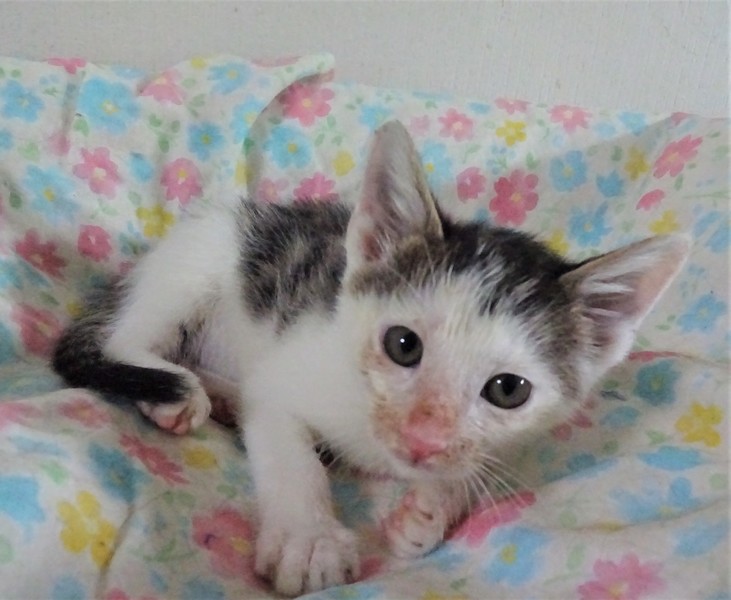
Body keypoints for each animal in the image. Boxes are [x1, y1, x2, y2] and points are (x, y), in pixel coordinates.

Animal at [52, 120, 689, 596]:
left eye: (509, 390)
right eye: (402, 345)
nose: (424, 437)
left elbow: (472, 466)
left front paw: (431, 510)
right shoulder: (287, 373)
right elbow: (290, 452)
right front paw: (309, 539)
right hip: (196, 260)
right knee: (119, 340)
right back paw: (179, 390)